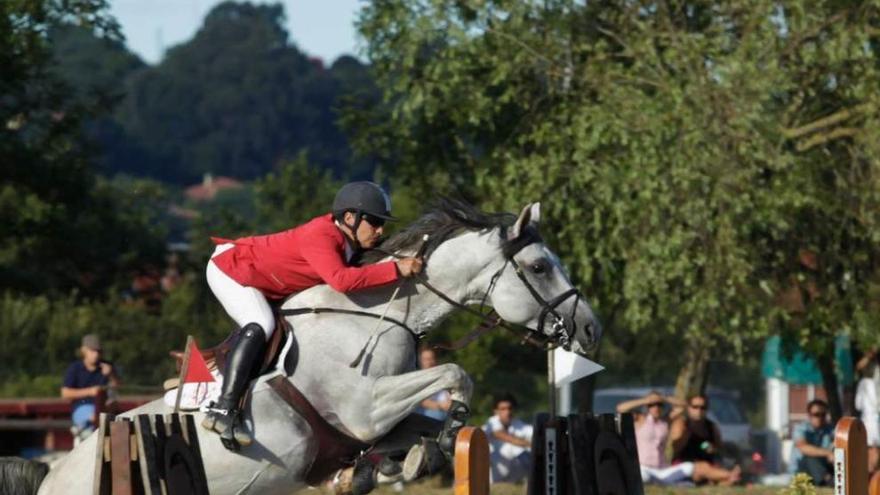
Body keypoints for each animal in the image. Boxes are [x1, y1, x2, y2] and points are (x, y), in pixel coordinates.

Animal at [32, 201, 600, 495]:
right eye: (540, 267)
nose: (591, 331)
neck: (378, 316)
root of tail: (51, 475)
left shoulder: (376, 421)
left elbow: (420, 425)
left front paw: (404, 462)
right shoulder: (365, 409)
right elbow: (458, 375)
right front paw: (434, 441)